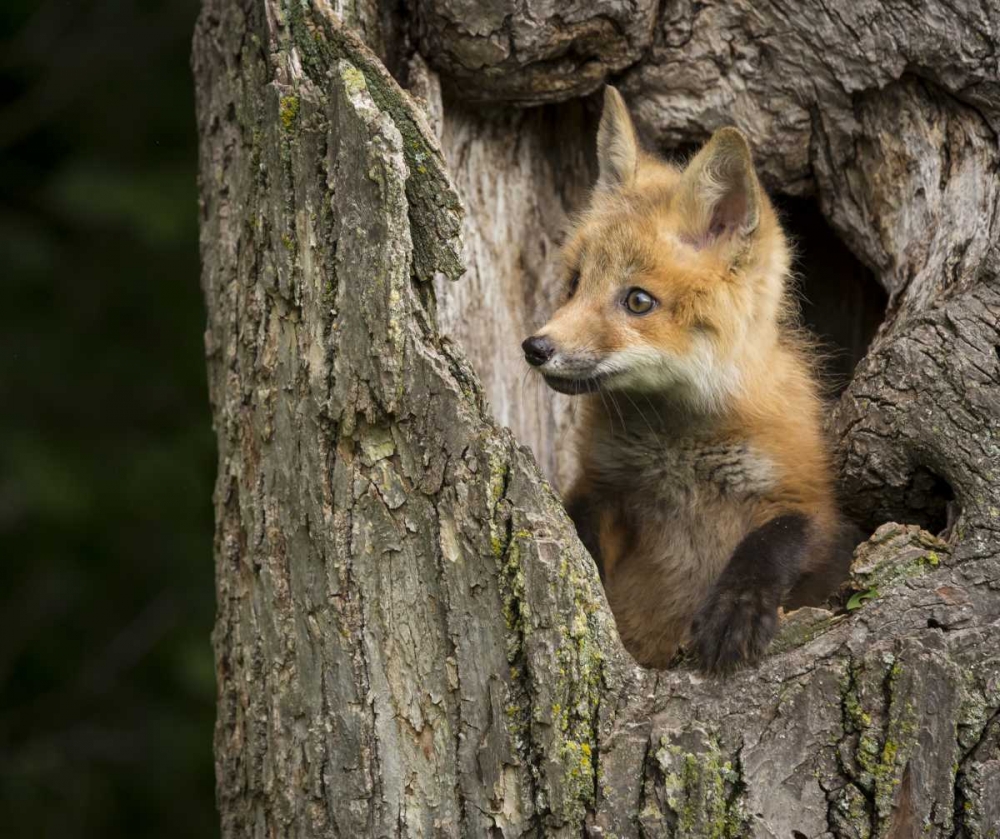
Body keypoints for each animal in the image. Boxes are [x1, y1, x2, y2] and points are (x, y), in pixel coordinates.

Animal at [524, 87, 852, 676]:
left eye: (638, 301)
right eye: (576, 282)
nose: (536, 348)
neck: (678, 452)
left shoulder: (811, 498)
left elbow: (774, 540)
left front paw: (735, 609)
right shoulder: (603, 487)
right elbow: (581, 534)